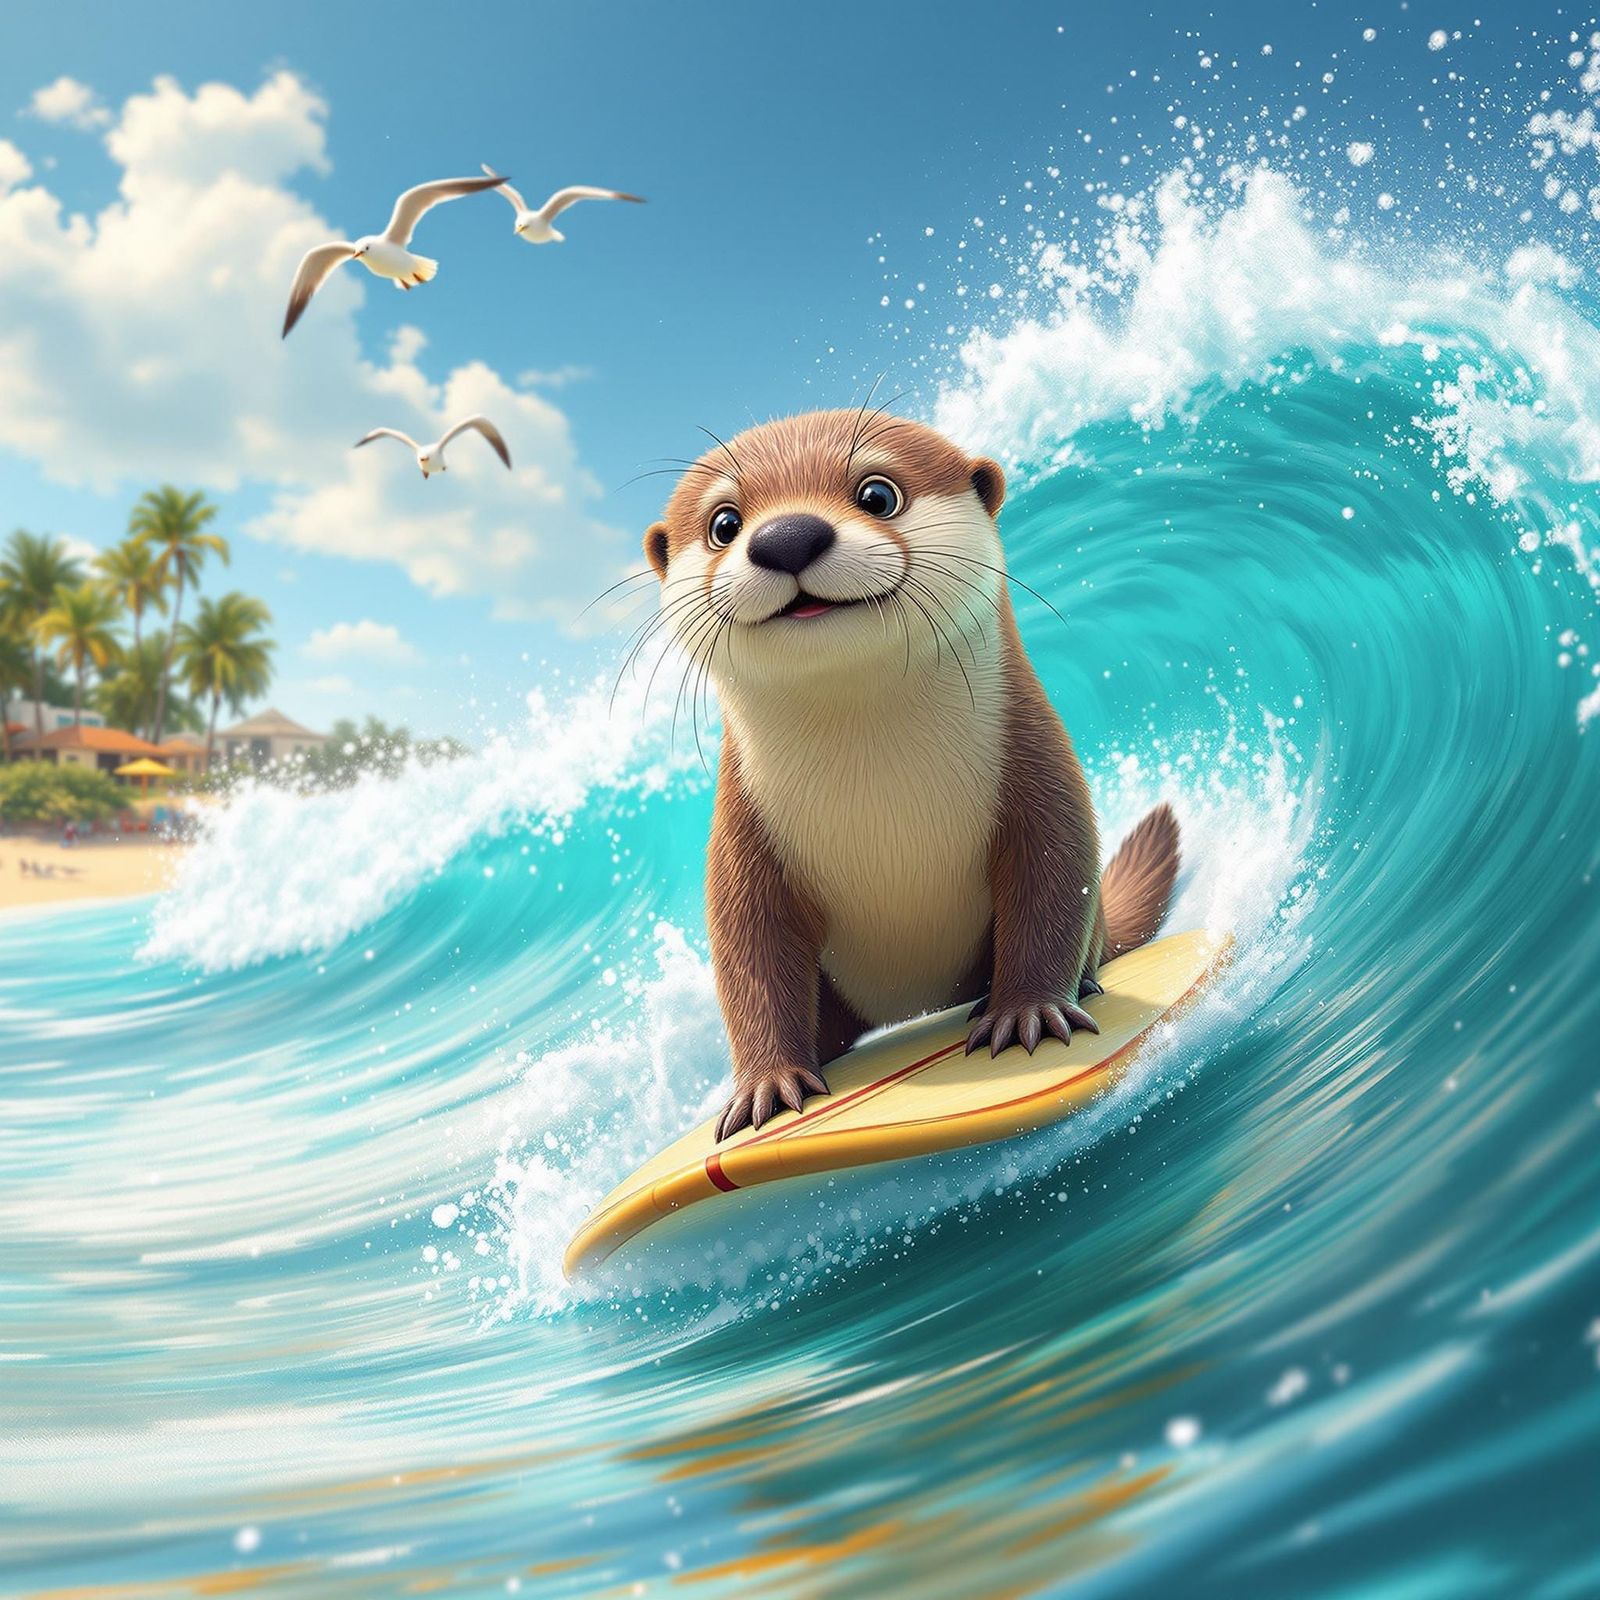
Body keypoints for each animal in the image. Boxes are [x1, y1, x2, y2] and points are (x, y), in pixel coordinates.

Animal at [642, 409, 1180, 1140]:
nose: (787, 536)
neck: (876, 787)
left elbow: (1054, 875)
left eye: (877, 493)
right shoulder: (741, 836)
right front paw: (766, 1089)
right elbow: (748, 950)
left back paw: (1077, 985)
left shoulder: (1038, 767)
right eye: (724, 523)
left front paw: (1028, 1014)